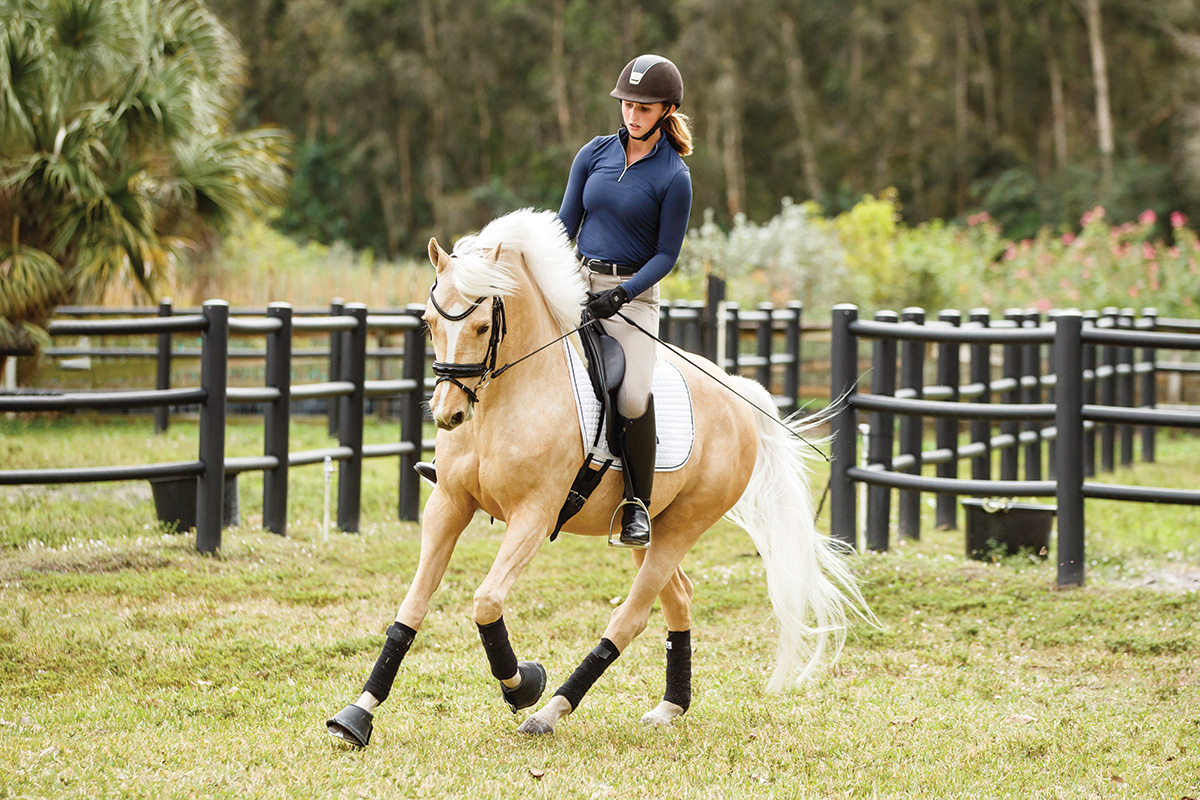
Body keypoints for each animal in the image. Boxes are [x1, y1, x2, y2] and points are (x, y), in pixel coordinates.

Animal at [328, 208, 873, 743]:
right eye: (427, 323)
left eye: (483, 327)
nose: (447, 415)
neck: (511, 396)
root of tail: (738, 395)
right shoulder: (448, 504)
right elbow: (412, 606)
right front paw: (357, 714)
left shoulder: (533, 515)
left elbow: (486, 601)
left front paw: (523, 684)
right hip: (652, 529)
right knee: (677, 598)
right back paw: (671, 706)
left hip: (686, 524)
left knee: (630, 616)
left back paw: (550, 711)